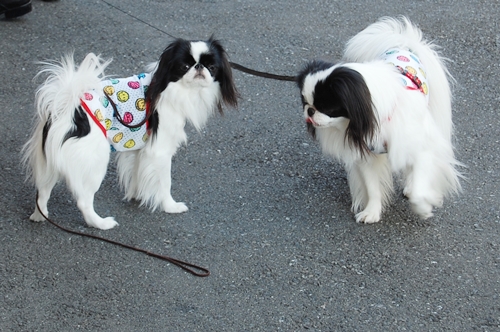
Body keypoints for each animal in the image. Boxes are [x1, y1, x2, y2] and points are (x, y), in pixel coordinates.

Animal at [24, 36, 239, 228]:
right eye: (184, 66)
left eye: (212, 67)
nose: (199, 67)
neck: (171, 88)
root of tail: (69, 108)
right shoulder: (160, 152)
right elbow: (165, 182)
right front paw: (170, 206)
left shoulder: (138, 148)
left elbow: (136, 173)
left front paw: (137, 196)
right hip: (95, 162)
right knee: (83, 201)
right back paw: (102, 224)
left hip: (50, 161)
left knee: (42, 192)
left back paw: (40, 216)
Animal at [294, 16, 462, 223]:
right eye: (305, 102)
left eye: (326, 107)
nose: (310, 111)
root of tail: (404, 45)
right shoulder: (368, 154)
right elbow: (373, 187)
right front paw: (372, 212)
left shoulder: (422, 146)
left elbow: (419, 186)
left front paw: (423, 207)